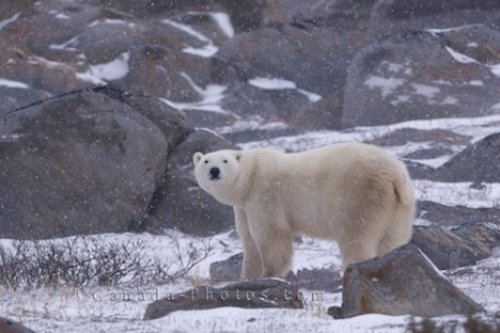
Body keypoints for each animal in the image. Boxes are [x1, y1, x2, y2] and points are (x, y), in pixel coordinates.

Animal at [193, 143, 416, 278]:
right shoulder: (243, 208)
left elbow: (272, 237)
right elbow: (249, 241)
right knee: (392, 239)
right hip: (399, 207)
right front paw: (246, 277)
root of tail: (394, 174)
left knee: (356, 237)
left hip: (359, 197)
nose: (214, 171)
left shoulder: (265, 196)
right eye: (206, 161)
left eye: (225, 160)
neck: (249, 179)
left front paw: (270, 275)